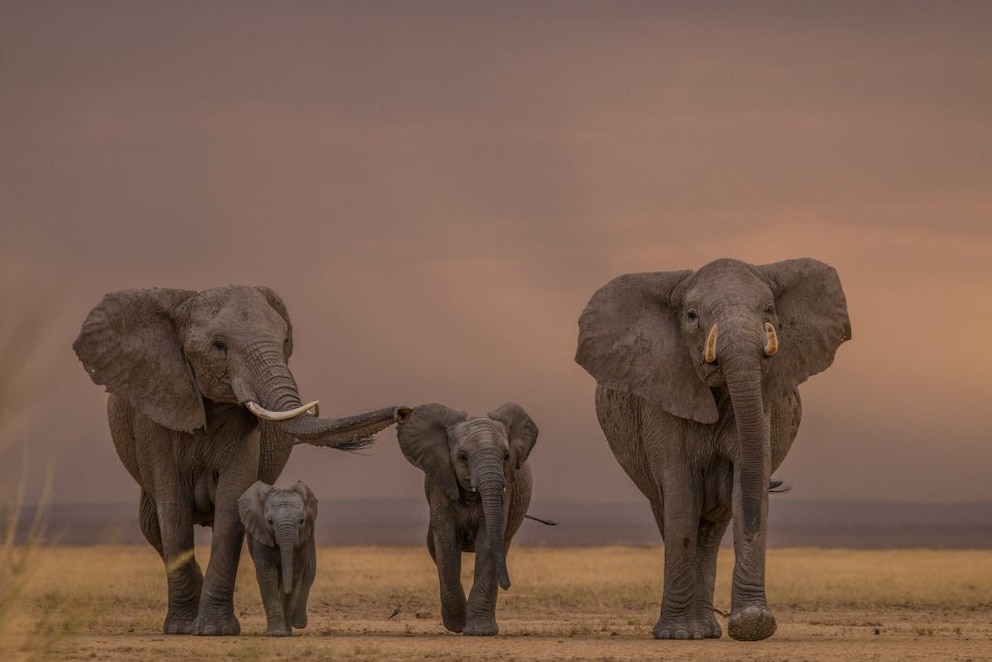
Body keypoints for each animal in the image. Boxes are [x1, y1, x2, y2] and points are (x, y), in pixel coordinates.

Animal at [239, 480, 317, 637]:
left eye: (302, 521)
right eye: (269, 521)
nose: (286, 590)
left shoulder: (304, 538)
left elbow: (296, 571)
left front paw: (285, 632)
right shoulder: (261, 532)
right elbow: (267, 573)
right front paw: (277, 633)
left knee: (309, 573)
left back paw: (296, 624)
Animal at [396, 402, 538, 636]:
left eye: (507, 456)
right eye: (463, 457)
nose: (508, 585)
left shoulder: (506, 486)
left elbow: (488, 541)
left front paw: (480, 631)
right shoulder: (440, 481)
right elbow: (446, 540)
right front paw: (457, 625)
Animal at [575, 258, 850, 641]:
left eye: (769, 310)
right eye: (692, 316)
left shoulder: (763, 402)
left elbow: (747, 482)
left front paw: (753, 624)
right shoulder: (663, 396)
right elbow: (681, 494)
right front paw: (675, 635)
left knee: (713, 529)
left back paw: (706, 630)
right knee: (672, 513)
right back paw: (690, 630)